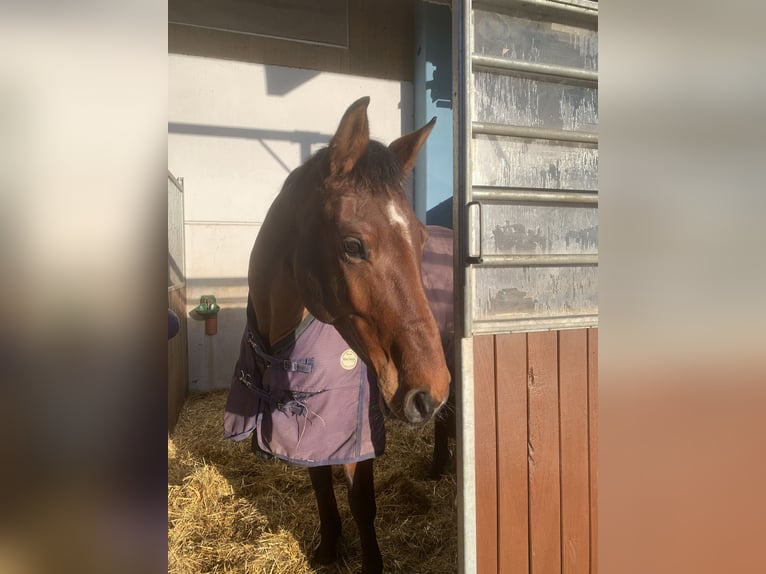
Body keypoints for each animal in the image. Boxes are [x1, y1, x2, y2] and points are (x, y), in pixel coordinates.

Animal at [228, 97, 456, 572]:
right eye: (352, 245)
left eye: (420, 239)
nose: (425, 390)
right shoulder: (309, 418)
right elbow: (319, 481)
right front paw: (329, 546)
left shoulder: (355, 427)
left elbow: (362, 501)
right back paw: (438, 465)